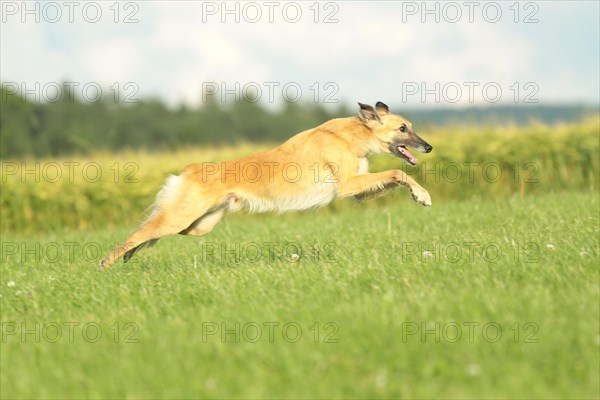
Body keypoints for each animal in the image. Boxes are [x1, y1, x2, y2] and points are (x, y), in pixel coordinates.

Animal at [101, 101, 434, 268]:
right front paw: (423, 194)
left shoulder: (357, 190)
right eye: (403, 129)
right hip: (182, 216)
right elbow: (398, 172)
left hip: (200, 224)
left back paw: (131, 255)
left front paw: (418, 194)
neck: (352, 135)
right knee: (143, 231)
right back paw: (107, 262)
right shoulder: (348, 185)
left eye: (411, 127)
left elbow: (395, 177)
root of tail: (190, 169)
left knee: (154, 232)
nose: (428, 147)